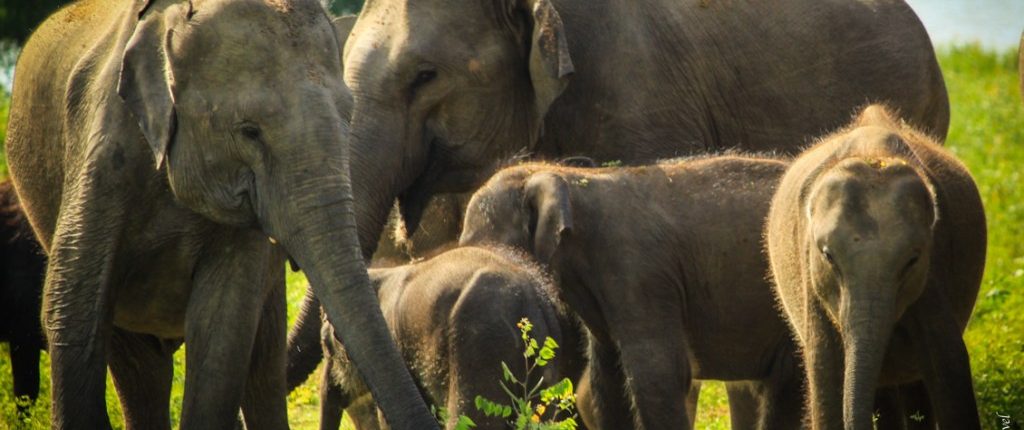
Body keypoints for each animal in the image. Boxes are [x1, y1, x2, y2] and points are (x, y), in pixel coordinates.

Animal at [3, 0, 435, 428]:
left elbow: (222, 330)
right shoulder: (101, 155)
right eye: (249, 131)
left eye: (348, 119)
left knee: (258, 369)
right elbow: (71, 313)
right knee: (139, 369)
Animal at [765, 105, 986, 430]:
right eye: (828, 256)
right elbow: (825, 379)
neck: (871, 151)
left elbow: (949, 364)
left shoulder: (934, 272)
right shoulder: (812, 281)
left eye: (912, 260)